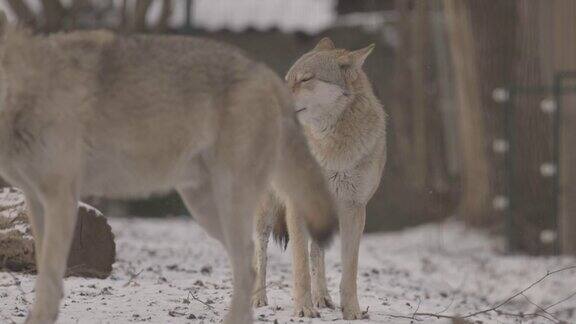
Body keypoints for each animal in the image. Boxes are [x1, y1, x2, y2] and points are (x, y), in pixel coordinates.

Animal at [0, 12, 338, 324]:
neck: (26, 88)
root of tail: (268, 74)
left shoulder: (61, 198)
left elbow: (49, 277)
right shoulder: (38, 200)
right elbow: (45, 275)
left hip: (228, 204)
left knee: (248, 266)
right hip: (204, 209)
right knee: (249, 267)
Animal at [252, 37, 388, 318]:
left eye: (305, 79)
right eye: (287, 78)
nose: (276, 95)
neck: (331, 150)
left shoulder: (354, 209)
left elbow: (349, 271)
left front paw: (352, 312)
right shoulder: (297, 206)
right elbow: (300, 266)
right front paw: (303, 309)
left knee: (317, 252)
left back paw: (322, 297)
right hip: (265, 213)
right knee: (259, 253)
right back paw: (258, 298)